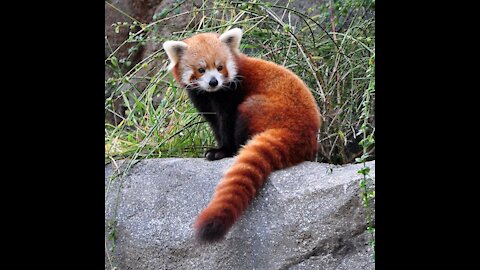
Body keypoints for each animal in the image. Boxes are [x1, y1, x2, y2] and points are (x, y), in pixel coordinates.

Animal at [162, 28, 322, 243]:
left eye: (220, 67)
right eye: (201, 70)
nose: (214, 81)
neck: (212, 93)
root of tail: (302, 132)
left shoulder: (231, 94)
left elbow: (227, 123)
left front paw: (222, 151)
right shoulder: (204, 101)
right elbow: (215, 125)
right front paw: (218, 148)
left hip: (262, 109)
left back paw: (239, 148)